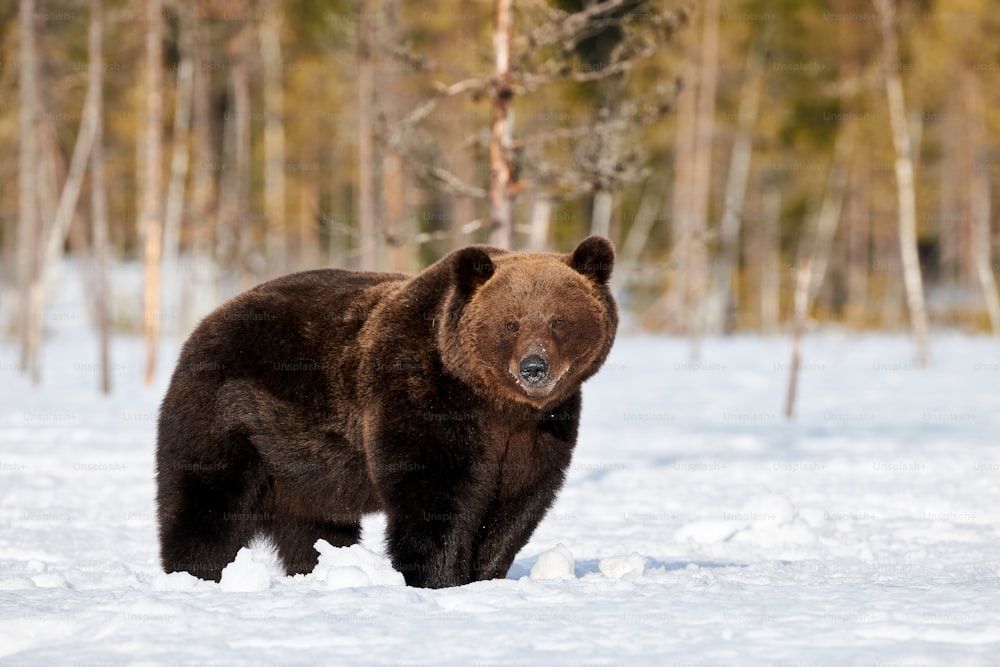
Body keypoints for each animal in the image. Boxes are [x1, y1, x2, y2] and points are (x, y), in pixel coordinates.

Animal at [156, 236, 616, 588]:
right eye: (511, 323)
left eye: (558, 320)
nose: (534, 367)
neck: (497, 406)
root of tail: (206, 321)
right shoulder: (422, 396)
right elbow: (434, 500)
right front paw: (439, 578)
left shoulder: (542, 430)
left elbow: (517, 506)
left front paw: (486, 575)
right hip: (233, 419)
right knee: (206, 504)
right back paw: (195, 573)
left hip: (300, 468)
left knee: (314, 527)